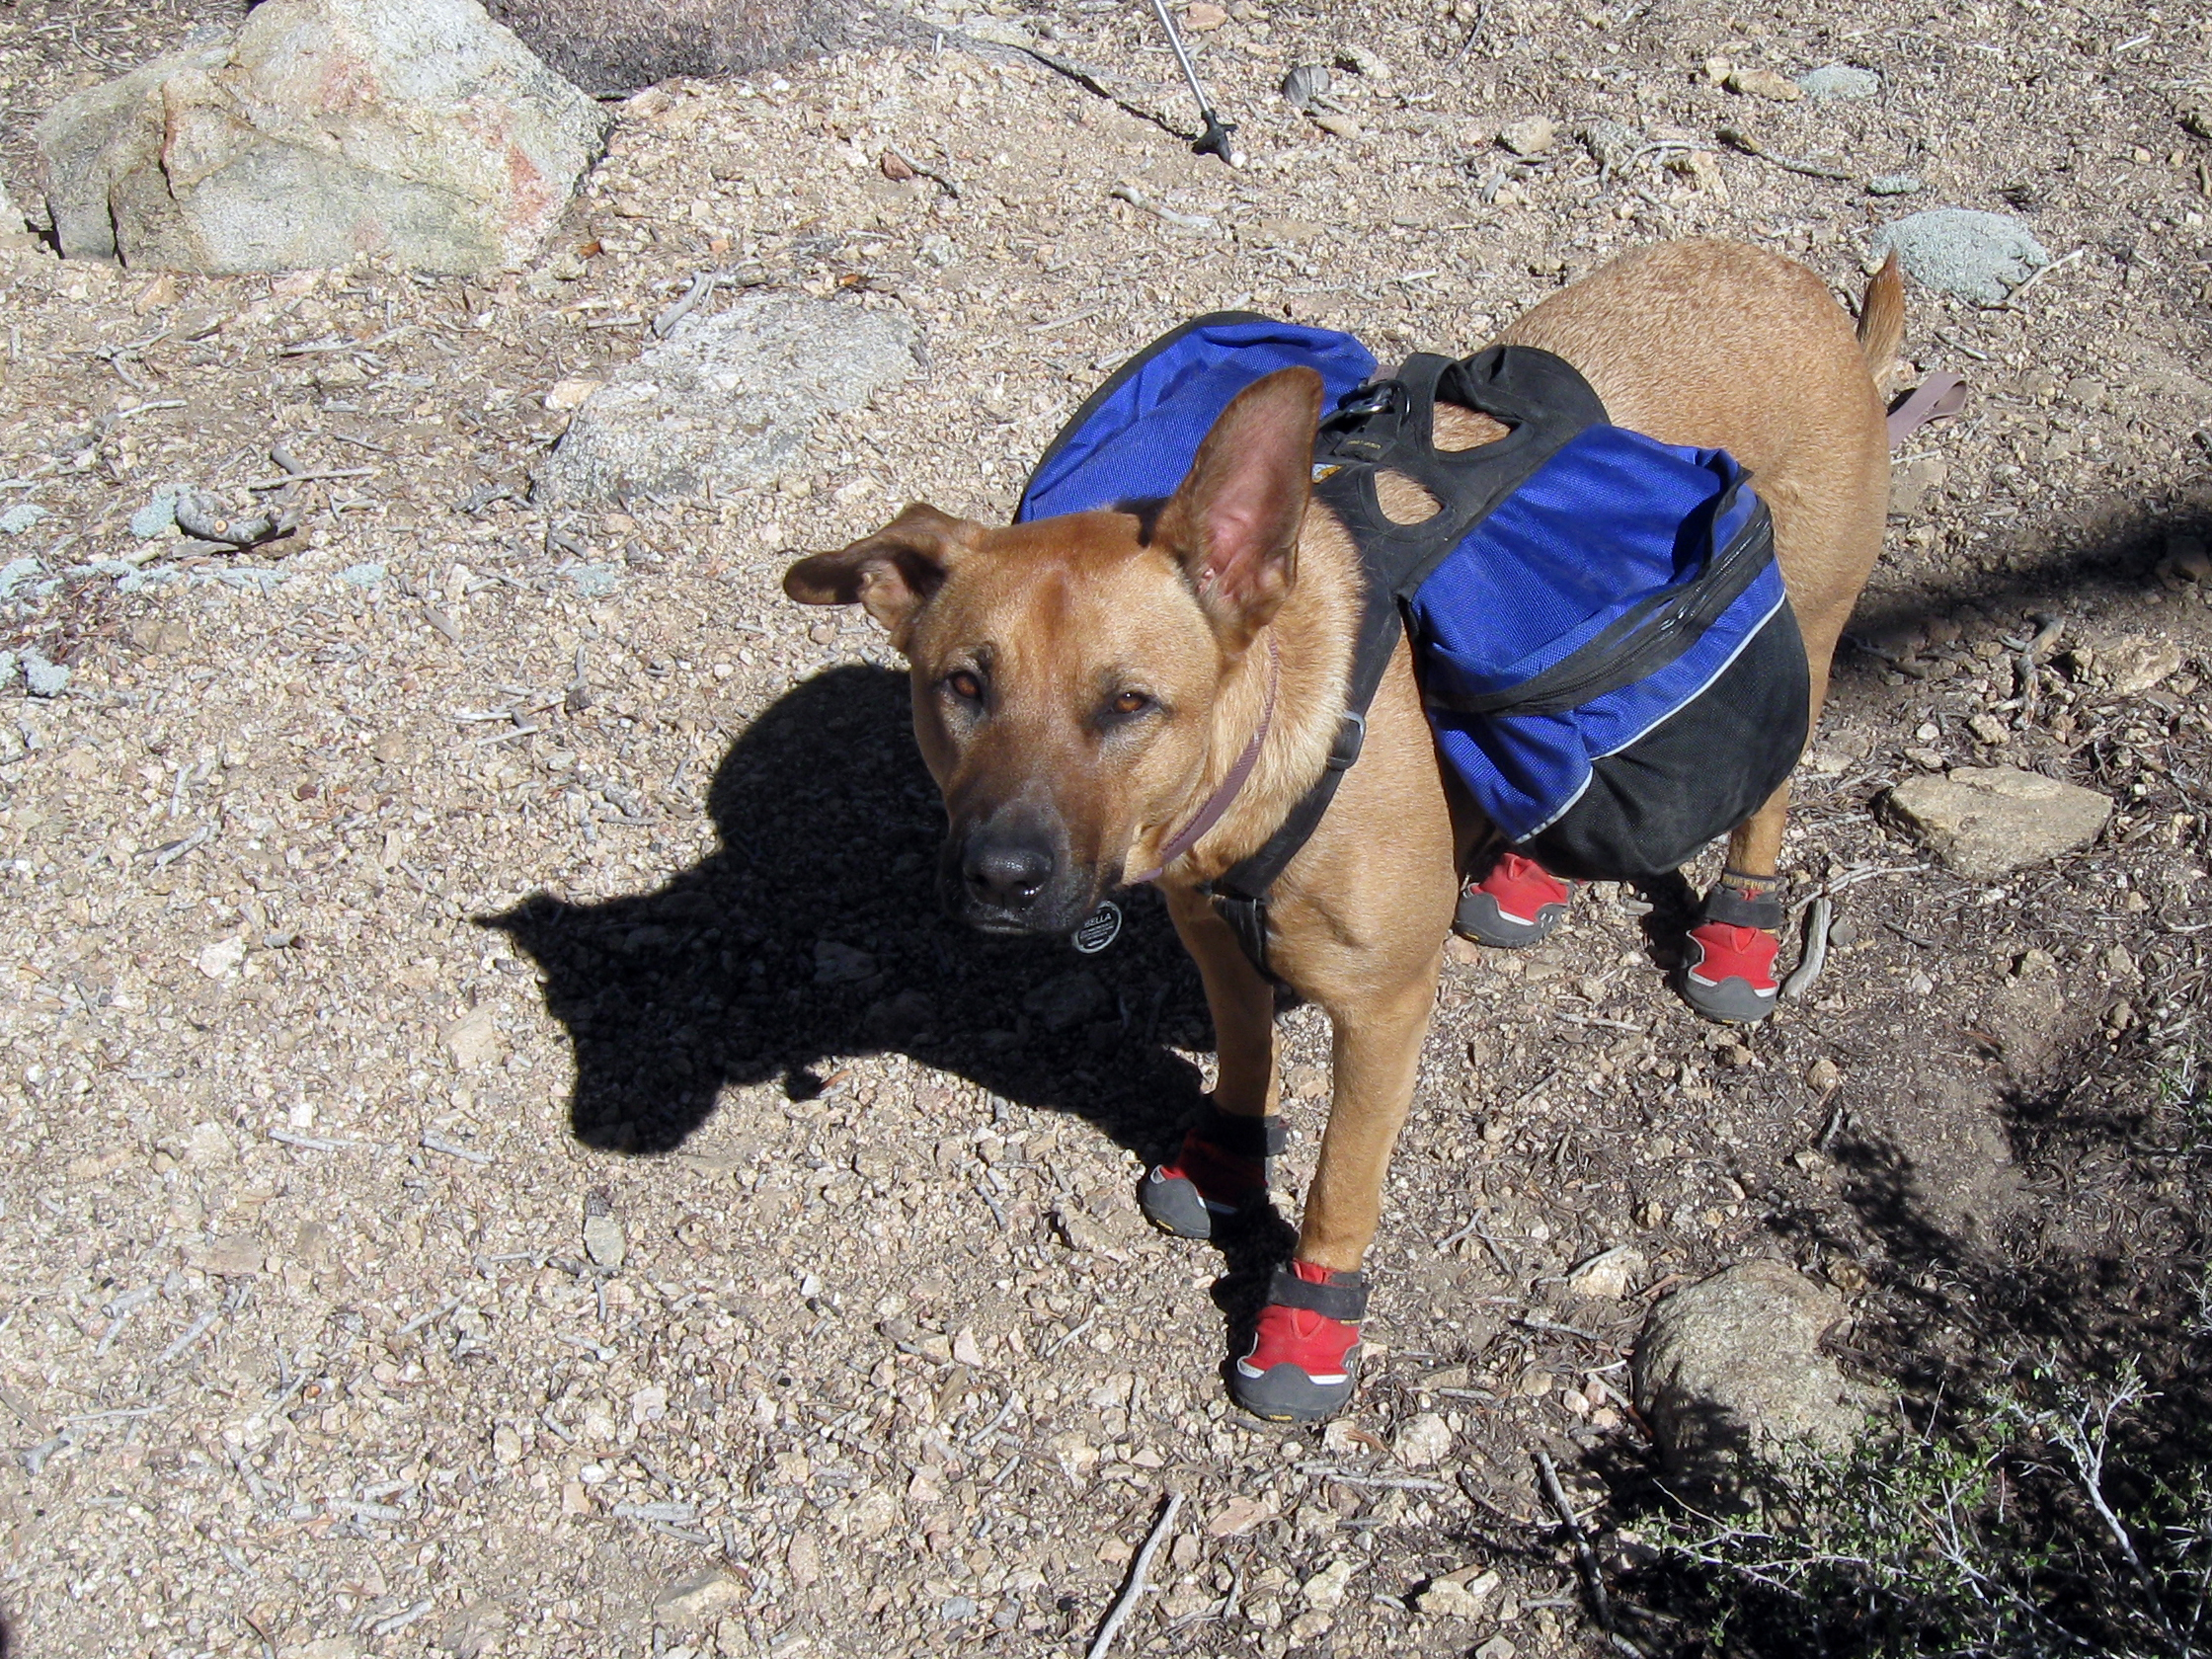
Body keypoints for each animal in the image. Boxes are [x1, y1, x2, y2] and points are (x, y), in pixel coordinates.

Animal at [782, 240, 1902, 1424]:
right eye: (961, 687)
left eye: (1129, 704)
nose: (1000, 876)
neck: (1269, 763)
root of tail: (1787, 279)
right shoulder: (1219, 945)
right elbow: (1244, 1061)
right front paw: (1228, 1157)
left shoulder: (1382, 1015)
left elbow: (1338, 1183)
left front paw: (1309, 1312)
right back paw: (1519, 869)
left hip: (1806, 628)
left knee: (1767, 790)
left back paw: (1741, 927)